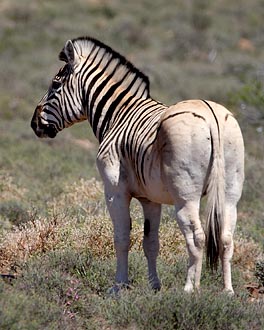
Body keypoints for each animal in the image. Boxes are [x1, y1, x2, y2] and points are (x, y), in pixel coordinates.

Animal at [32, 36, 244, 294]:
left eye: (55, 85)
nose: (34, 124)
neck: (118, 115)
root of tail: (211, 115)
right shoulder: (150, 199)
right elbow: (150, 242)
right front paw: (154, 287)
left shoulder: (114, 190)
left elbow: (122, 238)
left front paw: (118, 286)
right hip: (230, 193)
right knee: (226, 237)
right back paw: (227, 291)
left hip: (186, 196)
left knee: (197, 237)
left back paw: (190, 290)